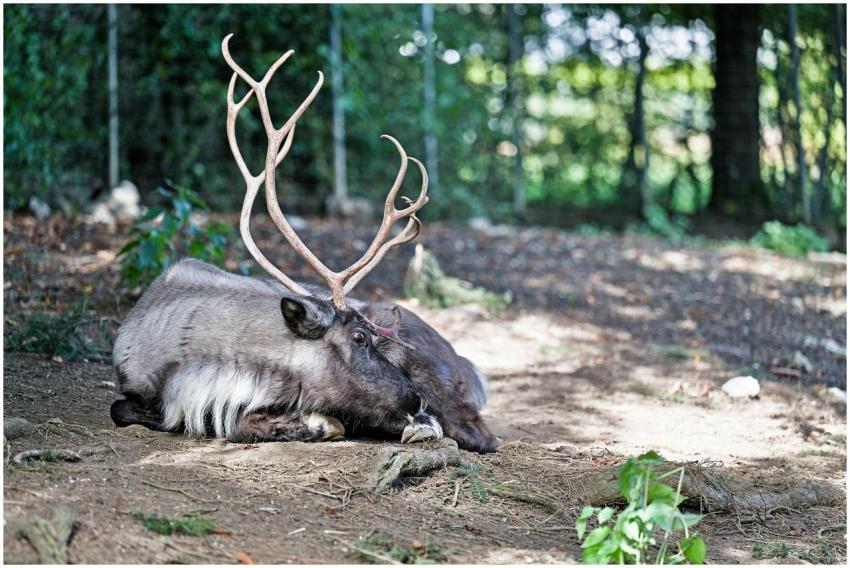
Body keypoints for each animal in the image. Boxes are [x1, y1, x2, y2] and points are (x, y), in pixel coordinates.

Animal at [110, 35, 499, 453]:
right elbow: (139, 412)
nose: (415, 398)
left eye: (371, 337)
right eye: (359, 337)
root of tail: (469, 366)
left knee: (478, 433)